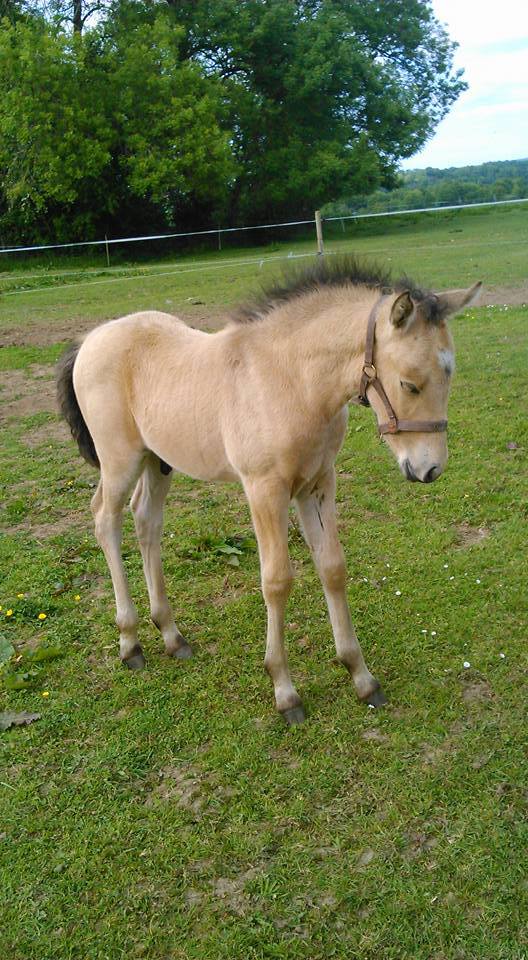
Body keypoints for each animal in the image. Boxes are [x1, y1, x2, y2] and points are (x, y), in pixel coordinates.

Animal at [58, 258, 482, 724]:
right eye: (409, 384)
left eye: (450, 375)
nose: (429, 469)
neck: (292, 381)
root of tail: (91, 338)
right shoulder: (265, 490)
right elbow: (277, 580)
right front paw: (285, 691)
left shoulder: (318, 484)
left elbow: (332, 567)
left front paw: (361, 676)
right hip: (120, 461)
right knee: (105, 519)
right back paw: (130, 642)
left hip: (158, 459)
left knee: (145, 520)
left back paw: (172, 635)